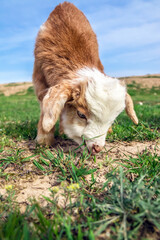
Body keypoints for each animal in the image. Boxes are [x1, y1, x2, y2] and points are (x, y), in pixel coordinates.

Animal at [32, 1, 138, 154]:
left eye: (112, 120)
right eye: (81, 114)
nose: (97, 148)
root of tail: (65, 3)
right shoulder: (40, 79)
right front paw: (44, 140)